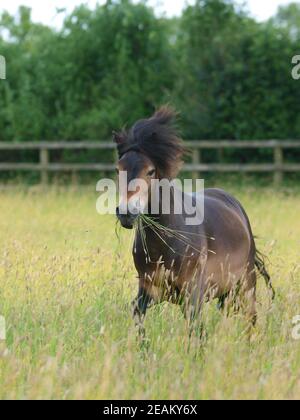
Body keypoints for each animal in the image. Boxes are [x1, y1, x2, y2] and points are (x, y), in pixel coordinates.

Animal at [113, 106, 274, 334]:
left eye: (150, 171)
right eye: (118, 169)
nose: (126, 213)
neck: (166, 240)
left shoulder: (192, 294)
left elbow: (196, 331)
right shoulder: (150, 288)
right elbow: (138, 314)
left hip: (246, 284)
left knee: (250, 319)